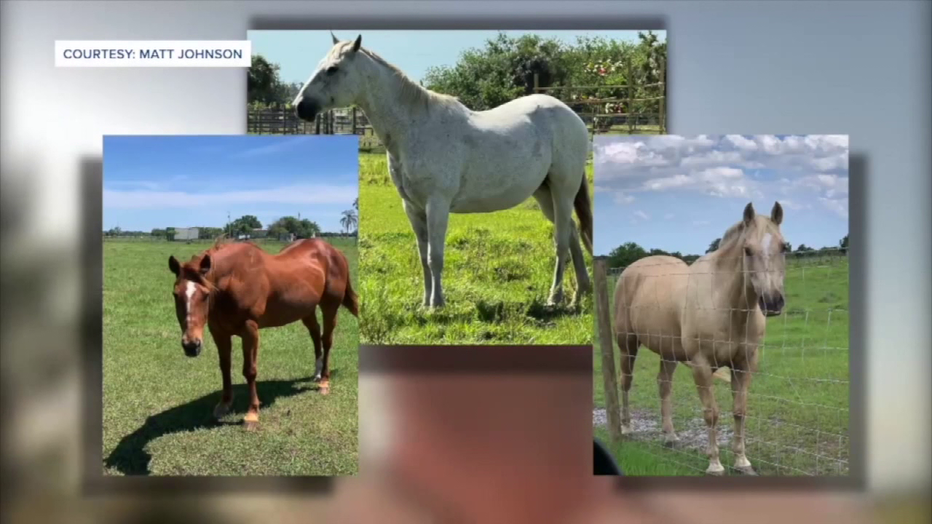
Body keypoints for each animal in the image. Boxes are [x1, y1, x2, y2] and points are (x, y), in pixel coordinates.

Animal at [167, 238, 356, 430]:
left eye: (205, 294)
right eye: (175, 294)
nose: (191, 345)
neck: (235, 279)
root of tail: (334, 251)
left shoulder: (250, 330)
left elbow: (250, 370)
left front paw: (252, 414)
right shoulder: (219, 332)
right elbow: (225, 367)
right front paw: (224, 405)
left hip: (330, 306)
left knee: (327, 340)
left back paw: (324, 381)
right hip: (306, 309)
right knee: (315, 334)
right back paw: (317, 374)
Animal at [294, 32, 592, 310]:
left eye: (332, 69)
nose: (299, 107)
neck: (415, 128)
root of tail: (571, 115)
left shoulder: (437, 204)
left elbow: (434, 257)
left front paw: (437, 305)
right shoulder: (412, 208)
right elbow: (423, 257)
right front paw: (425, 303)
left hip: (563, 189)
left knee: (561, 241)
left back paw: (555, 297)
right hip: (544, 192)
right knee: (572, 231)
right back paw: (580, 293)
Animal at [616, 203, 784, 476]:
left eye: (784, 247)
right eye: (747, 250)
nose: (772, 302)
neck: (726, 303)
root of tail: (629, 271)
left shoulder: (744, 364)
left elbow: (740, 410)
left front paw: (742, 461)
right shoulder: (701, 365)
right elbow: (711, 413)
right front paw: (715, 464)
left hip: (669, 353)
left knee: (664, 385)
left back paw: (670, 436)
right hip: (627, 344)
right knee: (626, 382)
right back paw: (627, 428)